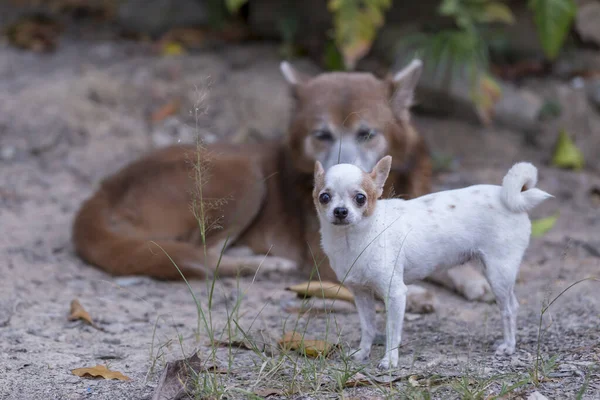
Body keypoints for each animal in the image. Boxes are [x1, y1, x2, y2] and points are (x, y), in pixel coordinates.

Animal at [71, 58, 492, 304]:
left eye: (366, 133)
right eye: (321, 134)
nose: (335, 183)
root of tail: (104, 189)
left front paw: (472, 279)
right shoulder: (327, 262)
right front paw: (418, 291)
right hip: (245, 175)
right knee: (199, 254)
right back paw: (265, 265)